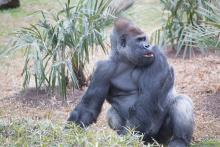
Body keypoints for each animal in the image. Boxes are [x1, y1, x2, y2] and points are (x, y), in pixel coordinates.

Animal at [67, 18, 194, 147]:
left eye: (144, 39)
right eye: (139, 40)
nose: (147, 45)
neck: (125, 61)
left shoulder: (156, 54)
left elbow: (146, 101)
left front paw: (124, 140)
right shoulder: (101, 69)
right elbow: (88, 107)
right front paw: (70, 133)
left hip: (160, 139)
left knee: (181, 101)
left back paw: (179, 140)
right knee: (112, 112)